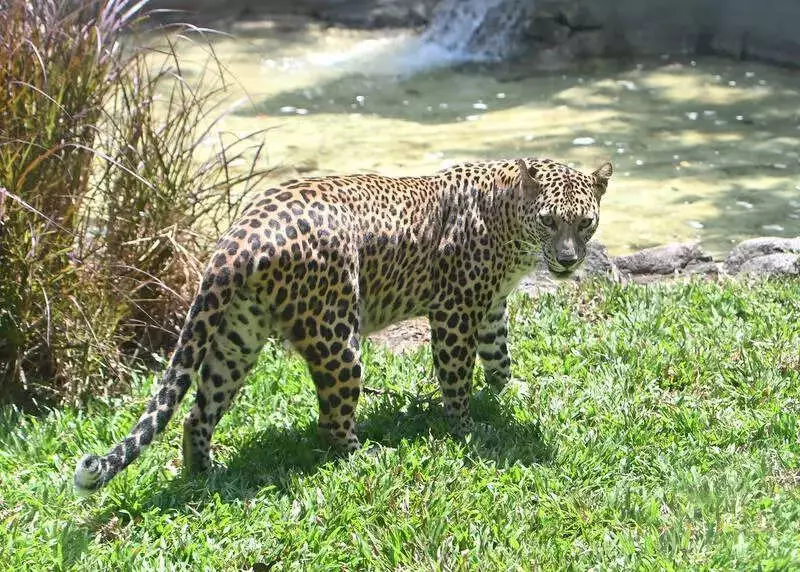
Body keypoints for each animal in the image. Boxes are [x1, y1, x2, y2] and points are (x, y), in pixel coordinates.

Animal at [74, 157, 613, 492]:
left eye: (585, 223)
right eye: (549, 220)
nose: (567, 261)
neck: (512, 226)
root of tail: (239, 234)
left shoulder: (492, 306)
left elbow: (500, 354)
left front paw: (510, 392)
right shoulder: (454, 311)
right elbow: (457, 375)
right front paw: (465, 429)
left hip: (236, 337)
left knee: (196, 413)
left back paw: (204, 476)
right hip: (338, 337)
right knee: (330, 424)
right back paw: (370, 458)